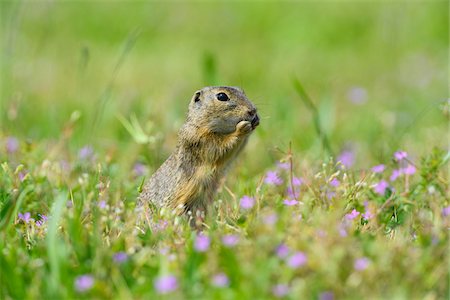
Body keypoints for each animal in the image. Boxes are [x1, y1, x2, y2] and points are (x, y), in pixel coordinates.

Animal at [141, 85, 260, 226]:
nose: (252, 110)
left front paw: (256, 120)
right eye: (222, 96)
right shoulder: (201, 140)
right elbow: (221, 148)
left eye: (242, 91)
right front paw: (242, 128)